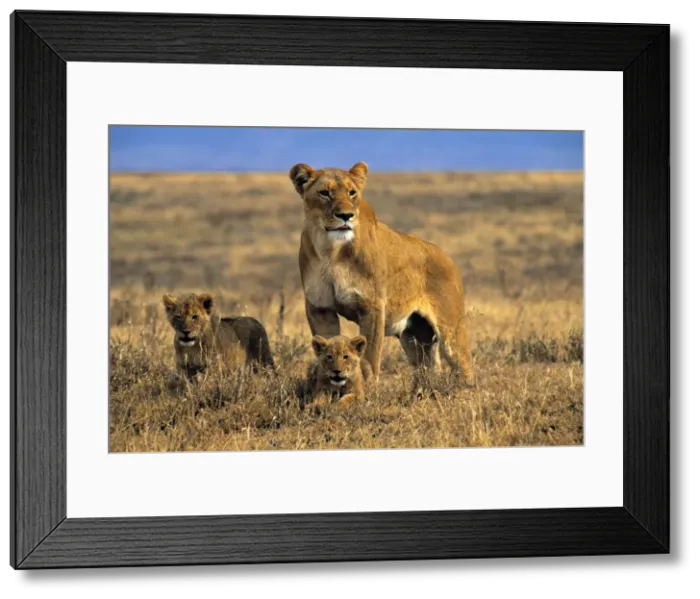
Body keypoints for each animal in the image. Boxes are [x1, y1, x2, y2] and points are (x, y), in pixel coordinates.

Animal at [289, 161, 474, 384]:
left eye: (352, 193)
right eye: (325, 193)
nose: (346, 216)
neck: (331, 252)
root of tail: (445, 255)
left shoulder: (372, 307)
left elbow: (369, 357)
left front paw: (366, 388)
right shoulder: (320, 308)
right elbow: (327, 345)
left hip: (451, 331)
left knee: (464, 366)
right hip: (414, 337)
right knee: (428, 369)